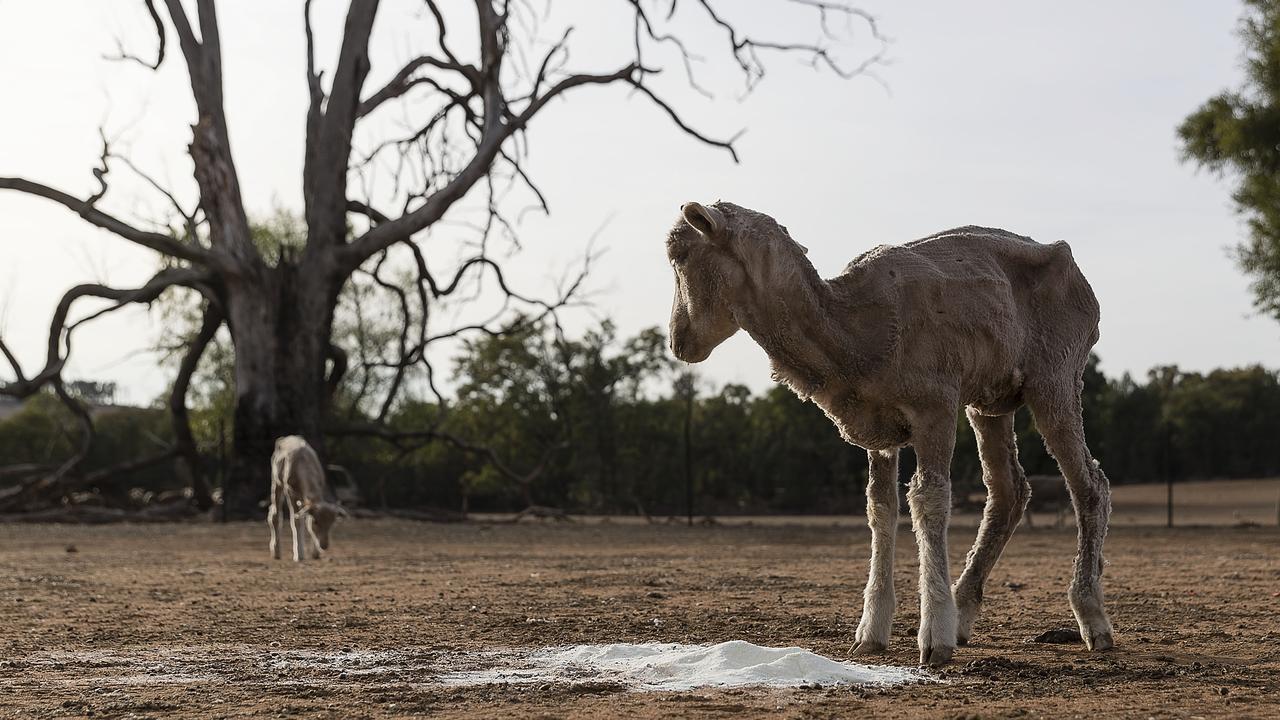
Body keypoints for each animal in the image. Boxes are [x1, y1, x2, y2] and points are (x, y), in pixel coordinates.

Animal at [267, 430, 345, 561]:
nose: (324, 545)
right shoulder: (290, 490)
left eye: (332, 523)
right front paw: (299, 555)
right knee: (275, 514)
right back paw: (276, 552)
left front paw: (315, 554)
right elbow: (296, 520)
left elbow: (306, 517)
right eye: (316, 522)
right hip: (276, 481)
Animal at [665, 198, 1116, 666]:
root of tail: (1076, 271)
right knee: (1009, 491)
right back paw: (964, 611)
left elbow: (929, 501)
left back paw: (1091, 619)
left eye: (678, 255)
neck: (852, 331)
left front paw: (933, 638)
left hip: (1056, 375)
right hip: (989, 400)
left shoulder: (936, 406)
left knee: (1089, 485)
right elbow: (880, 508)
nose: (678, 341)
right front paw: (871, 632)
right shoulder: (878, 427)